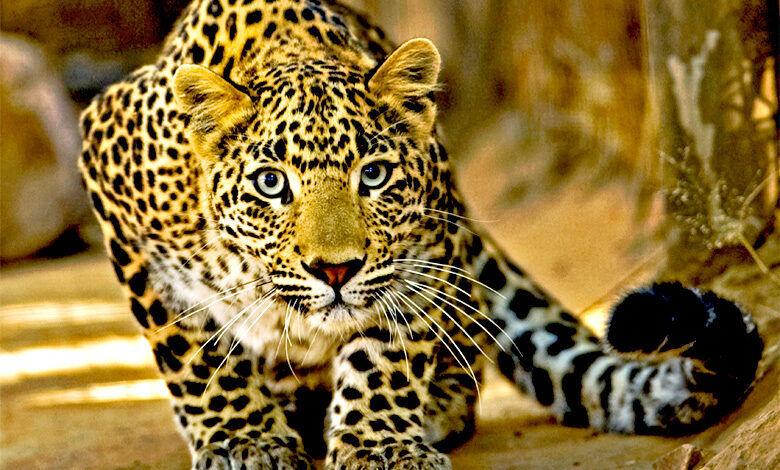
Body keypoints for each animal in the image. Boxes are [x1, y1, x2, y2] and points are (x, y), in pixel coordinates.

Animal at [78, 0, 764, 468]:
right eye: (271, 184)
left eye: (374, 175)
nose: (335, 271)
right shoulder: (111, 178)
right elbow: (193, 353)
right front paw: (244, 441)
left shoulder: (422, 249)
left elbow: (385, 352)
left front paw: (378, 446)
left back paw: (430, 408)